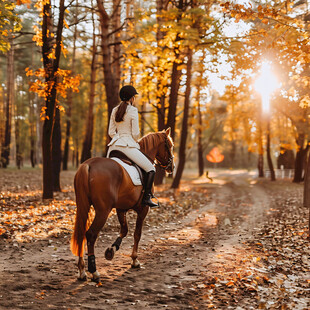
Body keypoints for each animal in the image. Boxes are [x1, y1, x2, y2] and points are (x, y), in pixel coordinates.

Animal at [70, 127, 174, 282]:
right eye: (170, 146)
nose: (171, 167)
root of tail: (88, 165)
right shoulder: (143, 209)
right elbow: (137, 233)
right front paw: (135, 260)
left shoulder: (121, 208)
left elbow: (124, 231)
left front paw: (111, 250)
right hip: (103, 211)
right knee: (91, 234)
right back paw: (94, 271)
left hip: (83, 205)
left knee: (82, 233)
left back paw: (82, 271)